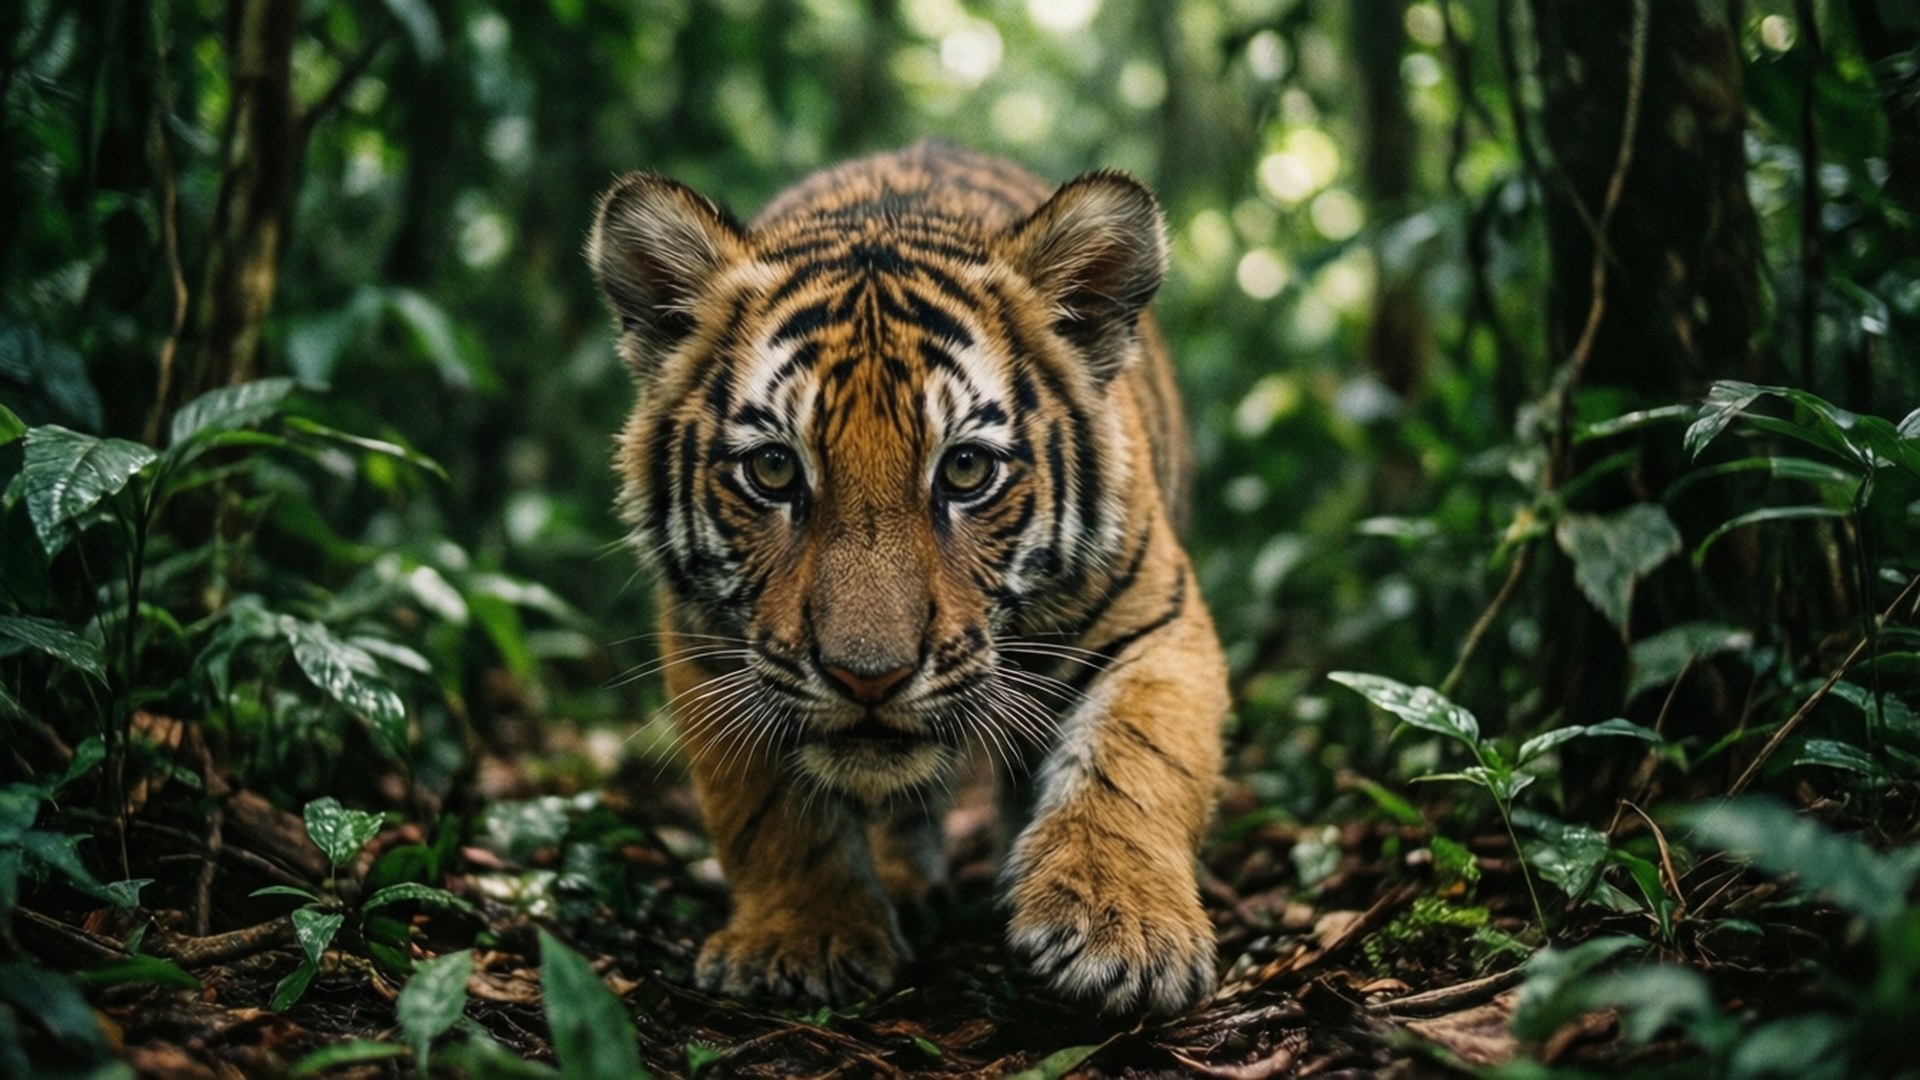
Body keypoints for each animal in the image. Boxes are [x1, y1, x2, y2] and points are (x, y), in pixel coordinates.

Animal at [588, 140, 1229, 1017]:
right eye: (773, 469)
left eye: (964, 470)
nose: (869, 678)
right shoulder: (712, 646)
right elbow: (765, 809)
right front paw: (801, 939)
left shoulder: (1154, 618)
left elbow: (1136, 763)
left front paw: (1117, 925)